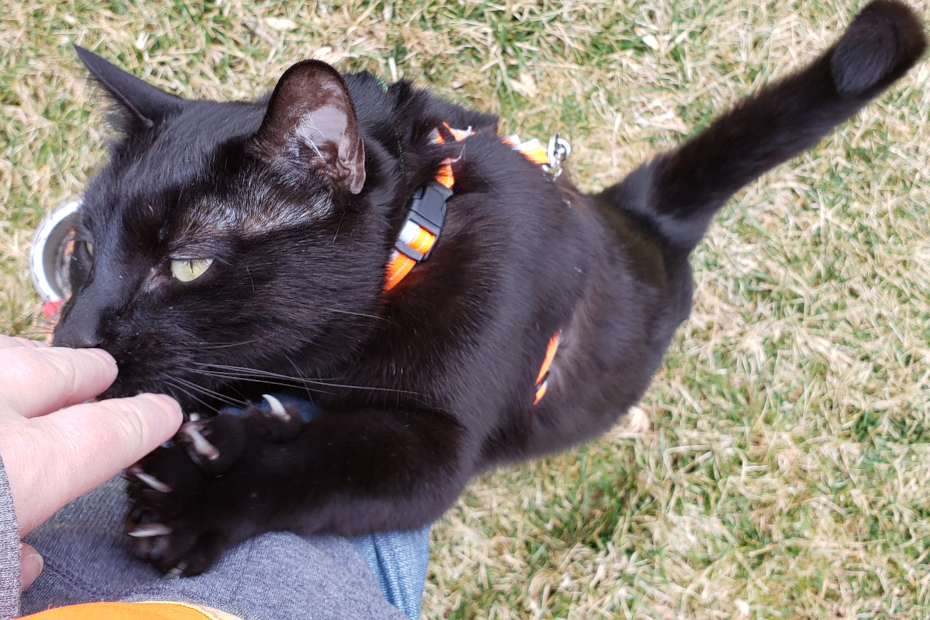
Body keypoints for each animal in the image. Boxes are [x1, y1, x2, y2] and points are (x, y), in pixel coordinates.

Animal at [54, 2, 924, 576]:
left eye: (188, 264)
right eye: (85, 249)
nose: (73, 335)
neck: (415, 246)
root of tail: (645, 214)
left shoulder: (441, 447)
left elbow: (320, 466)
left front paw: (196, 495)